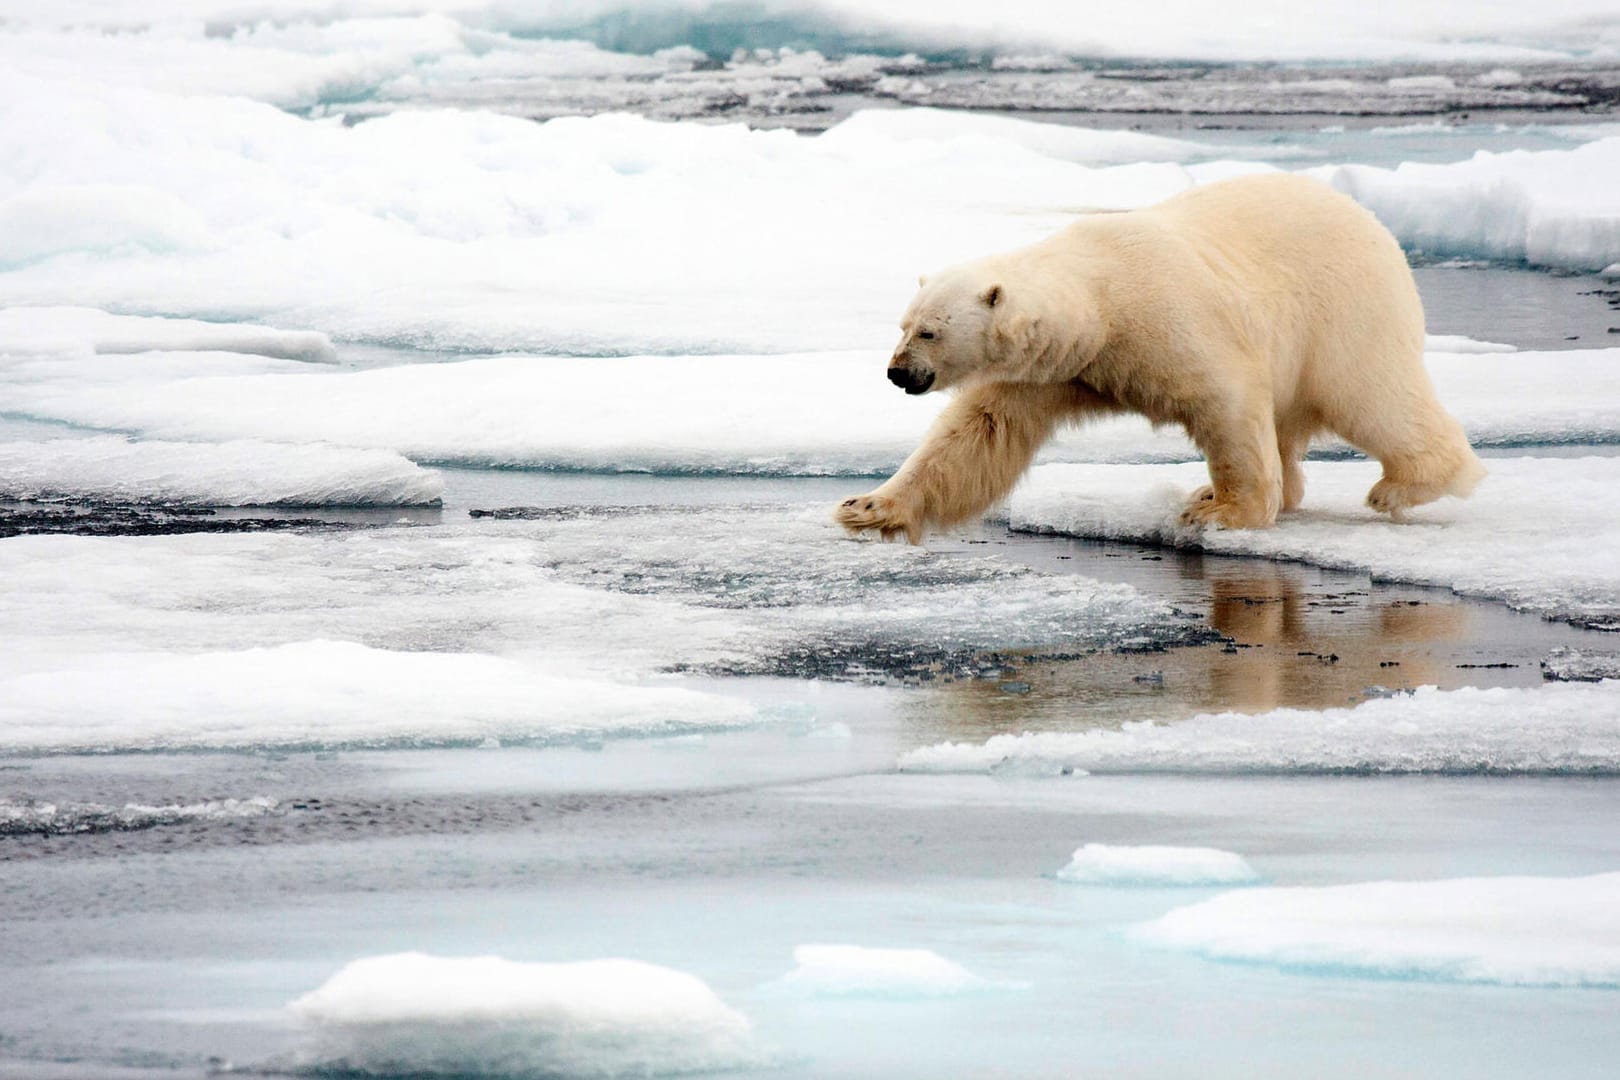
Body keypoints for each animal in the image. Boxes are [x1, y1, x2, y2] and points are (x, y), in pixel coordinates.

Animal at [842, 173, 1483, 544]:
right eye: (903, 325)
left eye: (929, 332)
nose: (897, 373)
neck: (1100, 304)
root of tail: (1375, 225)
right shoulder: (1052, 369)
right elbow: (978, 434)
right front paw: (868, 507)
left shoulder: (1169, 320)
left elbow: (1227, 402)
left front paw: (1223, 513)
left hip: (1343, 313)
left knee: (1372, 396)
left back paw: (1399, 487)